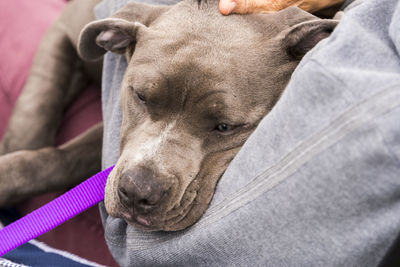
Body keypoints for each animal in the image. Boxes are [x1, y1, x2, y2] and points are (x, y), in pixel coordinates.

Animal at [0, 0, 338, 231]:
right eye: (140, 96)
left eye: (225, 126)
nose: (137, 192)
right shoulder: (66, 28)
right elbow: (39, 100)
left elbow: (63, 158)